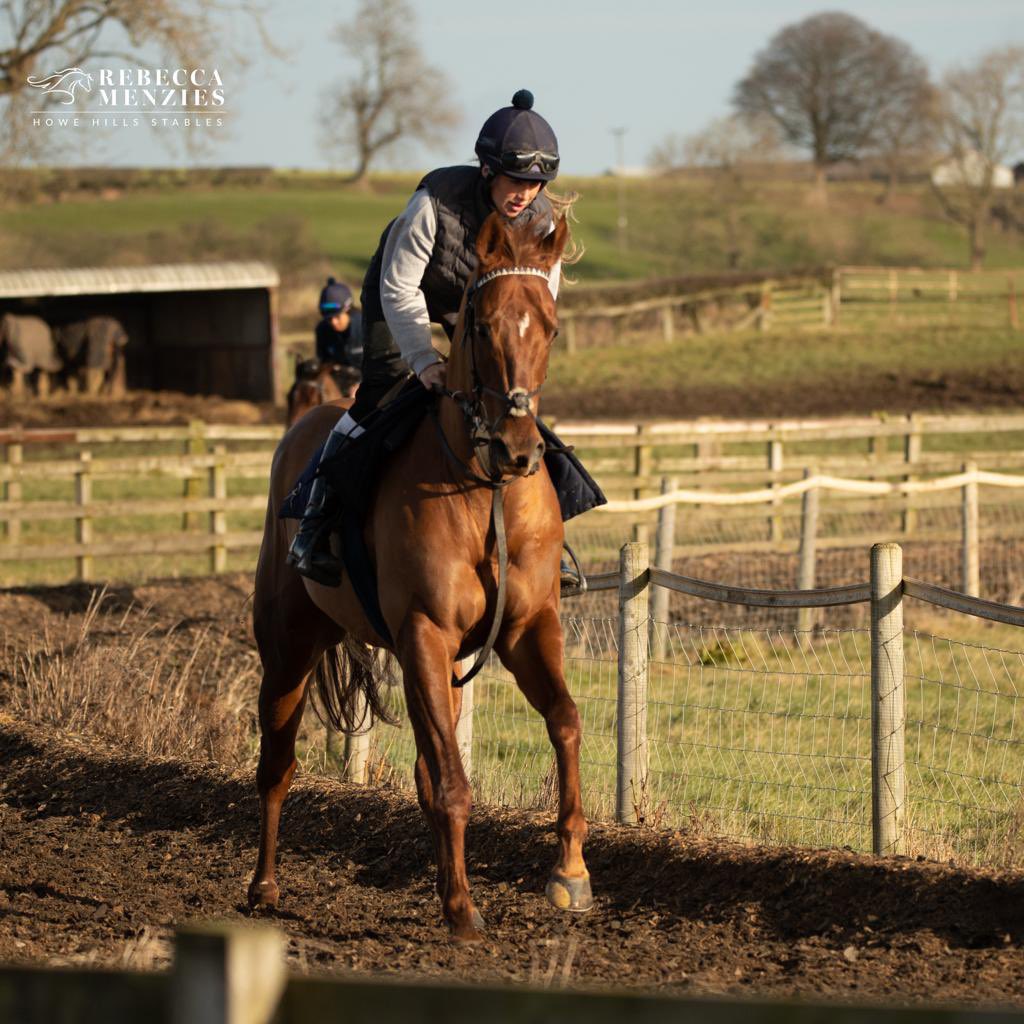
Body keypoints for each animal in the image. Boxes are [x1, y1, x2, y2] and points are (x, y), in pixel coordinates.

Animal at [249, 211, 593, 937]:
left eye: (549, 326)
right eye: (482, 325)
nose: (520, 450)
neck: (484, 489)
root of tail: (304, 427)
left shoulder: (526, 628)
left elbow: (565, 722)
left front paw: (570, 872)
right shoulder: (425, 634)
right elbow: (453, 783)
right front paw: (463, 908)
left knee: (423, 769)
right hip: (289, 647)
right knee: (277, 763)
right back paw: (263, 886)